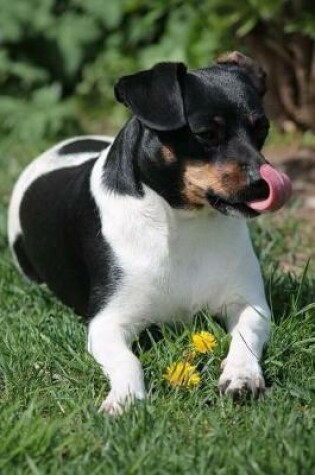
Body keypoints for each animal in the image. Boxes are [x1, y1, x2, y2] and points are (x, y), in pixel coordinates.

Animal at [8, 53, 292, 416]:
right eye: (206, 134)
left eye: (262, 129)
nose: (264, 183)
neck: (184, 223)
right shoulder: (106, 323)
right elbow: (127, 361)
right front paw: (126, 397)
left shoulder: (249, 305)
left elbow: (245, 338)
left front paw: (242, 376)